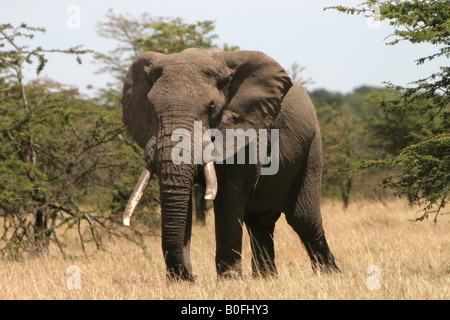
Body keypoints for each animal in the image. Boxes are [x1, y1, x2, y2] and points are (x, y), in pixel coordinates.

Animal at [121, 47, 340, 280]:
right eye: (151, 109)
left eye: (211, 108)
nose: (192, 277)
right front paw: (179, 282)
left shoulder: (246, 132)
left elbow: (229, 198)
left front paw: (229, 280)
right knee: (260, 221)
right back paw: (265, 278)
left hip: (312, 147)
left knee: (303, 219)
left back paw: (330, 274)